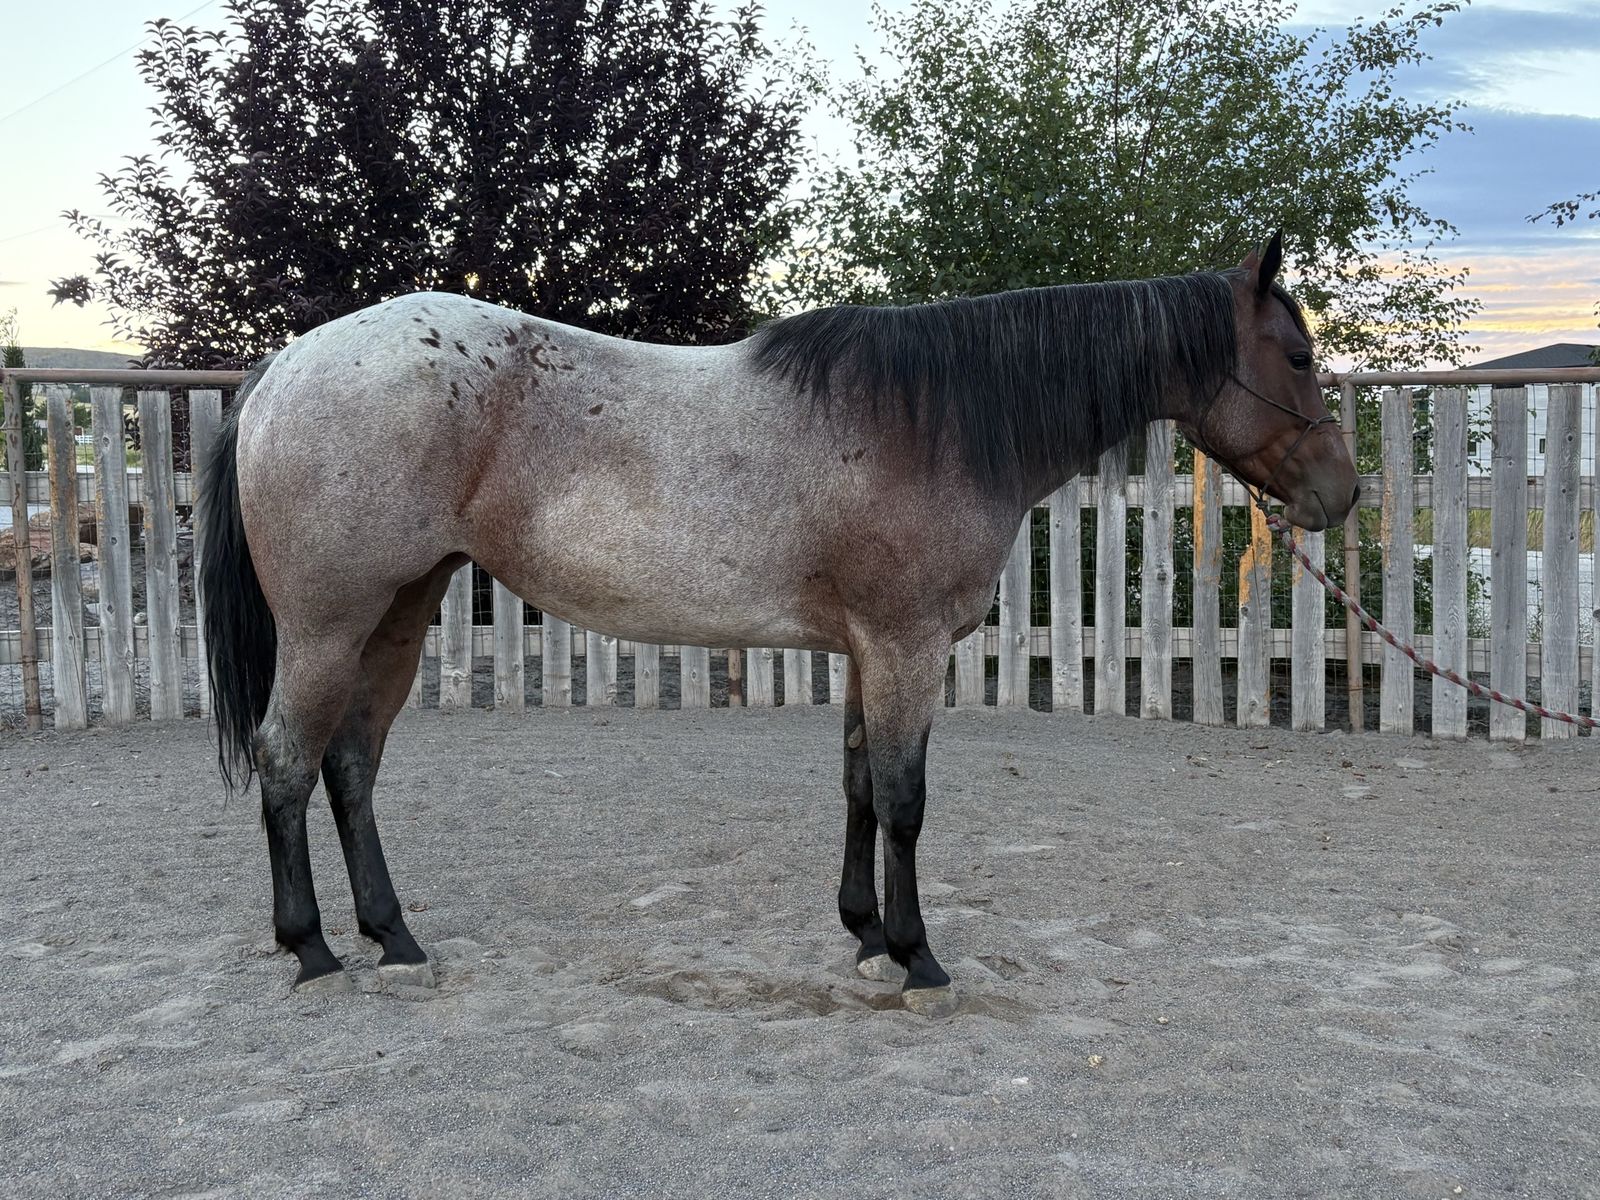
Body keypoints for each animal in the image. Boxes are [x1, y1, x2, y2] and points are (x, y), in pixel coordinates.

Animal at [200, 232, 1359, 1014]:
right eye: (1298, 358)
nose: (1341, 494)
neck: (933, 422)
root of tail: (283, 368)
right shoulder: (906, 648)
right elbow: (904, 801)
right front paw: (919, 958)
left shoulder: (867, 653)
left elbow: (858, 786)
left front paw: (865, 937)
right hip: (329, 625)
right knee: (289, 758)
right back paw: (312, 950)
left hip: (399, 614)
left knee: (352, 764)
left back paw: (394, 938)